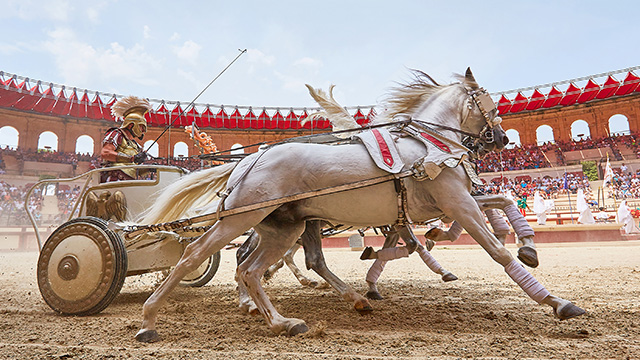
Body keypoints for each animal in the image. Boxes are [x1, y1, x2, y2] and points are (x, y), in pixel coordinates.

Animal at [135, 69, 584, 342]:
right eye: (488, 100)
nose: (502, 139)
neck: (429, 145)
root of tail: (248, 160)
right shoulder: (457, 203)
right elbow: (495, 250)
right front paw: (556, 301)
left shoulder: (442, 206)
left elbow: (501, 201)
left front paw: (527, 244)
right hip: (242, 220)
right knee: (197, 255)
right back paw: (150, 318)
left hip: (283, 227)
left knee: (253, 268)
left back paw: (285, 319)